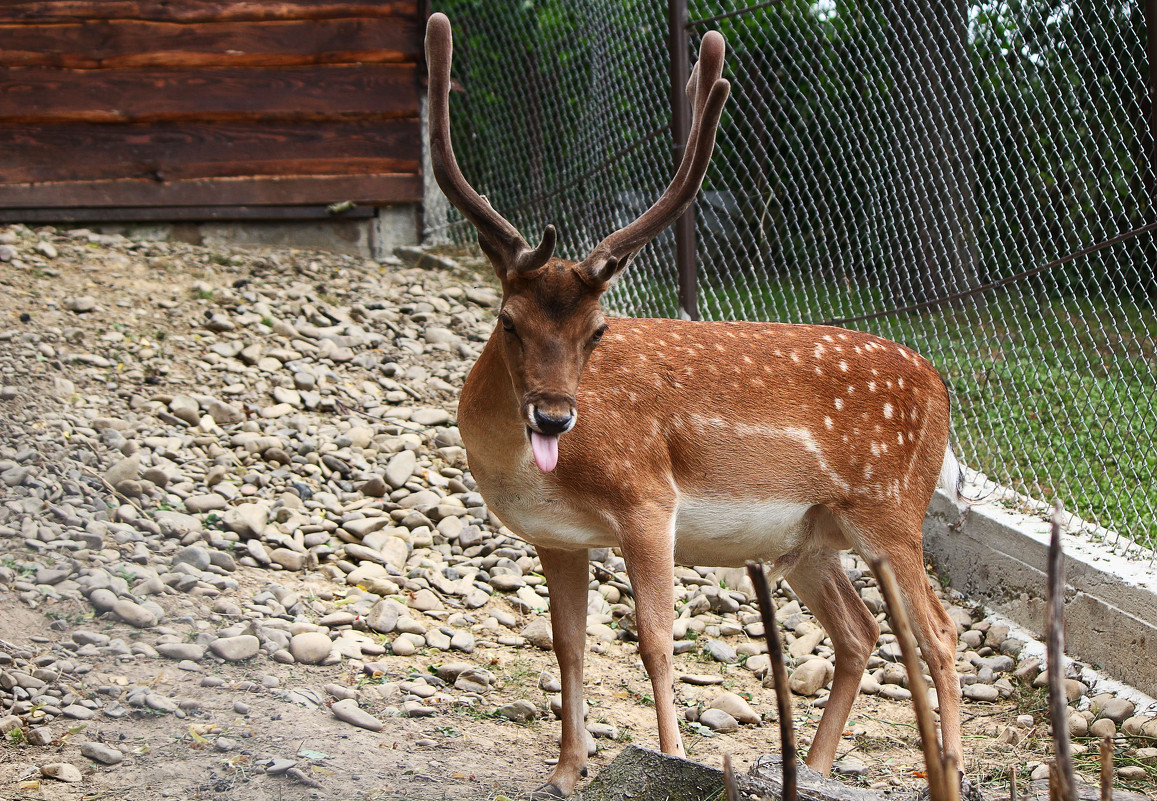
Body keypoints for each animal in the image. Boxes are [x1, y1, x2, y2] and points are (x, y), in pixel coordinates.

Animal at [425, 12, 967, 801]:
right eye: (507, 321)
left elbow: (654, 639)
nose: (554, 417)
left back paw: (943, 775)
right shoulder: (557, 537)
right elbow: (567, 644)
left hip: (892, 510)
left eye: (598, 329)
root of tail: (940, 388)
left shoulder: (648, 497)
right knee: (860, 630)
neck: (527, 471)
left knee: (940, 632)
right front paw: (566, 768)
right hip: (811, 537)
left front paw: (669, 752)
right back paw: (811, 767)